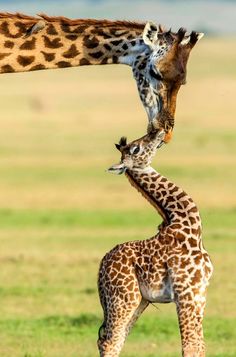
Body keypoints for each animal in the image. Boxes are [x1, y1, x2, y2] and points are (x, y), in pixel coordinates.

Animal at [97, 129, 213, 354]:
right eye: (136, 148)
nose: (158, 132)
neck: (191, 229)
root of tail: (101, 267)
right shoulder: (185, 292)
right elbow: (190, 345)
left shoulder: (200, 293)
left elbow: (200, 345)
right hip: (124, 297)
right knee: (110, 340)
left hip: (138, 300)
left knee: (116, 338)